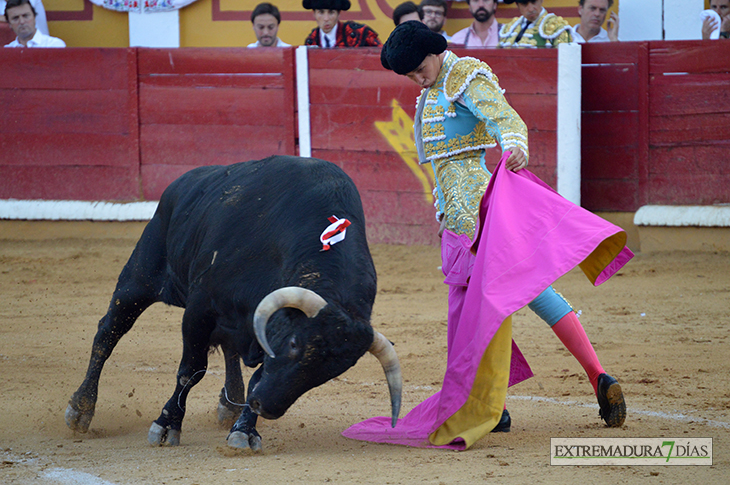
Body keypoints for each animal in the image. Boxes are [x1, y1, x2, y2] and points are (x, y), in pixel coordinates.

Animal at [64, 155, 400, 450]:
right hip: (139, 278)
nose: (267, 407)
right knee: (108, 333)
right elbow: (192, 369)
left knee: (229, 347)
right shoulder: (200, 308)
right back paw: (80, 409)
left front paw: (245, 430)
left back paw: (230, 404)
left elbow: (257, 376)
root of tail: (180, 184)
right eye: (294, 344)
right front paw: (166, 425)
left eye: (331, 372)